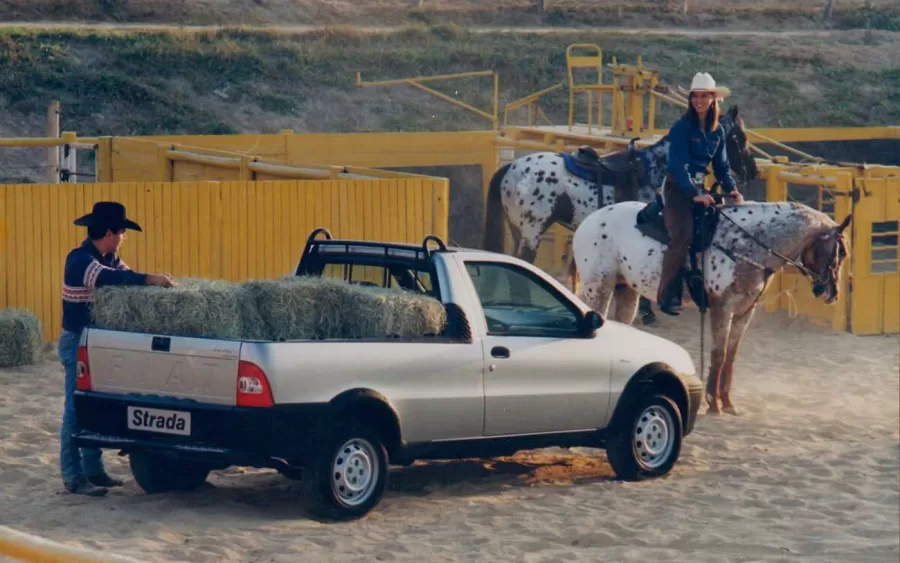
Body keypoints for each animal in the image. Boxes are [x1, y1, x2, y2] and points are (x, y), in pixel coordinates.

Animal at [482, 106, 756, 326]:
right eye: (738, 137)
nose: (750, 171)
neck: (658, 168)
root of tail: (511, 167)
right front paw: (648, 312)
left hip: (519, 231)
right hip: (532, 232)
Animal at [568, 197, 852, 414]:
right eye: (836, 252)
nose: (832, 293)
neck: (746, 245)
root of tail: (589, 221)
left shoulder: (744, 311)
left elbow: (731, 354)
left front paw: (727, 402)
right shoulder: (721, 308)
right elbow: (718, 353)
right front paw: (713, 403)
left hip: (626, 291)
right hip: (597, 287)